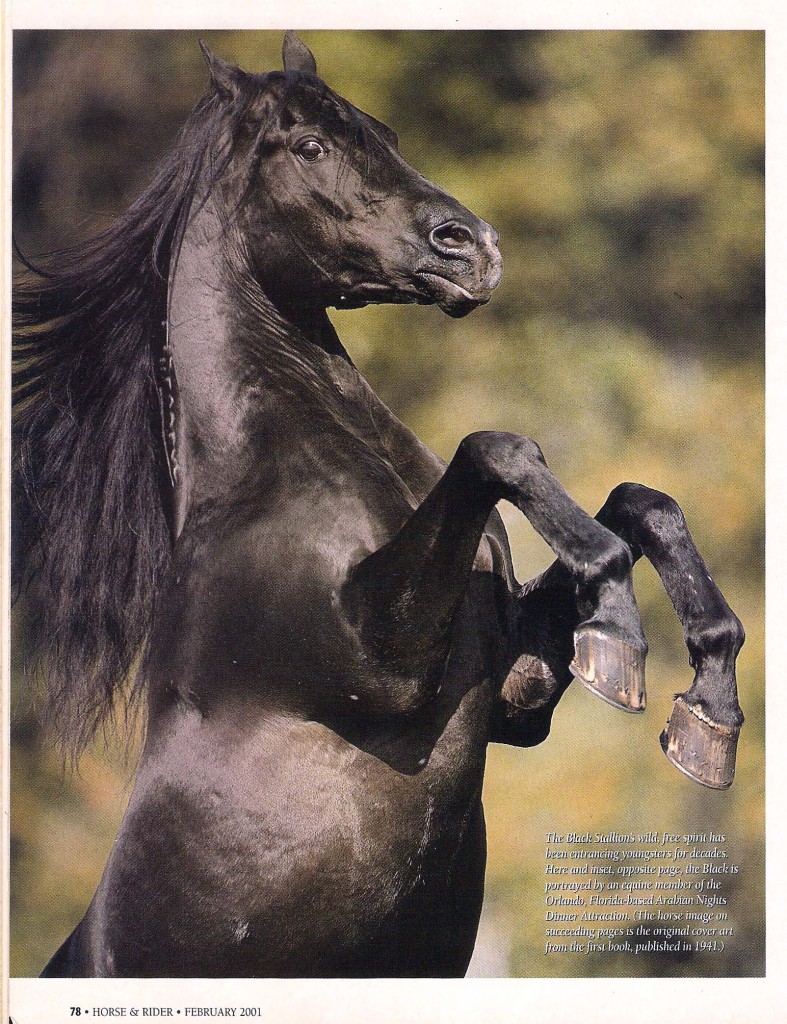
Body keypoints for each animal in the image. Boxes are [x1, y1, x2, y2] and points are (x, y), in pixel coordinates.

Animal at [13, 33, 744, 978]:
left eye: (385, 134)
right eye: (309, 146)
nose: (472, 248)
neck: (264, 489)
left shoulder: (515, 694)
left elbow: (639, 501)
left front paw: (707, 712)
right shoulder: (380, 663)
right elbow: (498, 450)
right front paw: (619, 627)